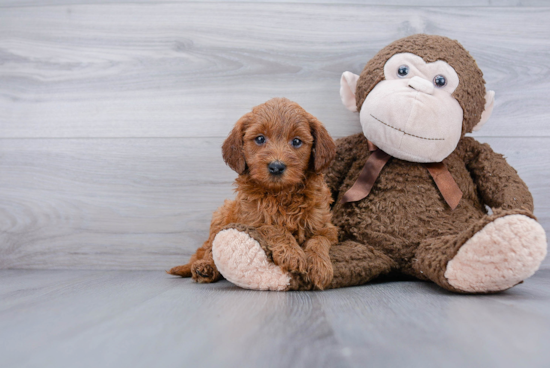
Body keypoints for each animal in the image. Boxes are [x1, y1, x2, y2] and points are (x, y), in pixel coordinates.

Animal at [169, 98, 340, 290]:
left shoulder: (325, 226)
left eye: (296, 141)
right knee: (208, 249)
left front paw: (319, 266)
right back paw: (205, 267)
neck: (281, 194)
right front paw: (292, 254)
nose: (276, 166)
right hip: (222, 214)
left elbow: (318, 240)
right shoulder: (251, 221)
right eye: (260, 139)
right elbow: (274, 227)